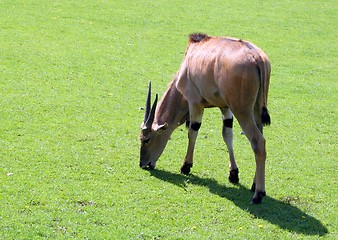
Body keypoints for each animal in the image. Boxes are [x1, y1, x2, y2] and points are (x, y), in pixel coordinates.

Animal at [139, 32, 270, 203]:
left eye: (146, 139)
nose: (142, 163)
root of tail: (257, 57)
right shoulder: (225, 108)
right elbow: (227, 135)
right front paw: (233, 174)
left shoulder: (195, 103)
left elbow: (192, 132)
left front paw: (186, 166)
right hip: (255, 112)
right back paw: (254, 185)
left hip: (242, 111)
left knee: (258, 142)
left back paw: (258, 194)